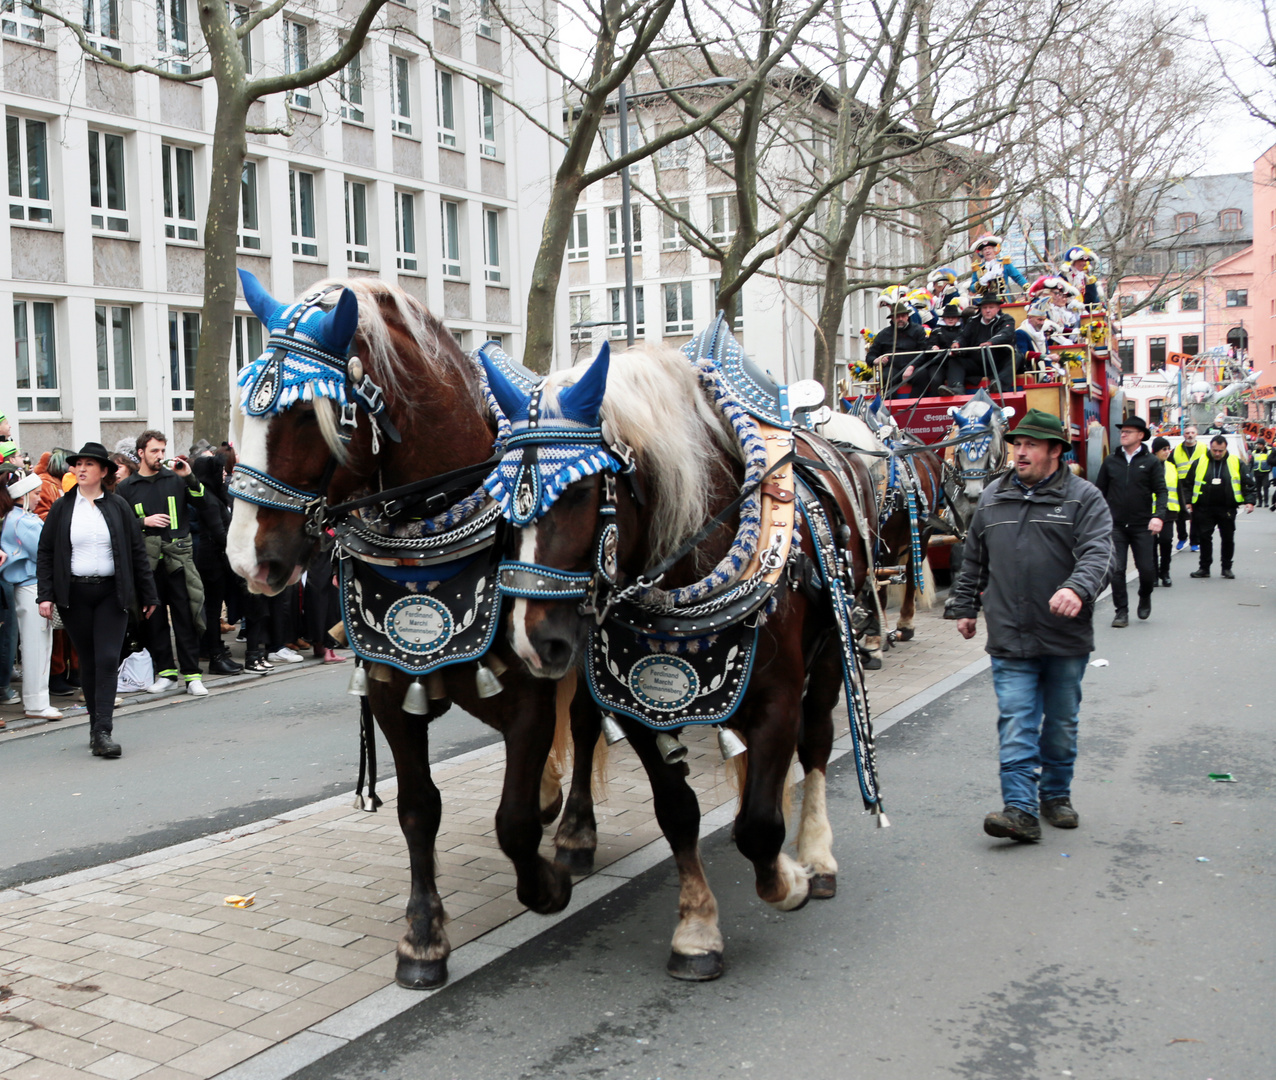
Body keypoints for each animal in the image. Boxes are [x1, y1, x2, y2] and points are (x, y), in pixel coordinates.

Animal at [225, 274, 592, 995]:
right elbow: (419, 808)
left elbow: (510, 821)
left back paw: (573, 835)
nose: (245, 561)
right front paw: (423, 936)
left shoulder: (531, 693)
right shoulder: (395, 692)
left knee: (590, 730)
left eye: (305, 415)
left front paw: (544, 884)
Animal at [479, 347, 877, 980]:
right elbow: (678, 812)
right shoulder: (639, 708)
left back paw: (817, 857)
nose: (530, 643)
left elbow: (761, 823)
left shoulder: (778, 698)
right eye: (498, 497)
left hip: (831, 660)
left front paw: (785, 879)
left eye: (579, 492)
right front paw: (696, 929)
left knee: (816, 742)